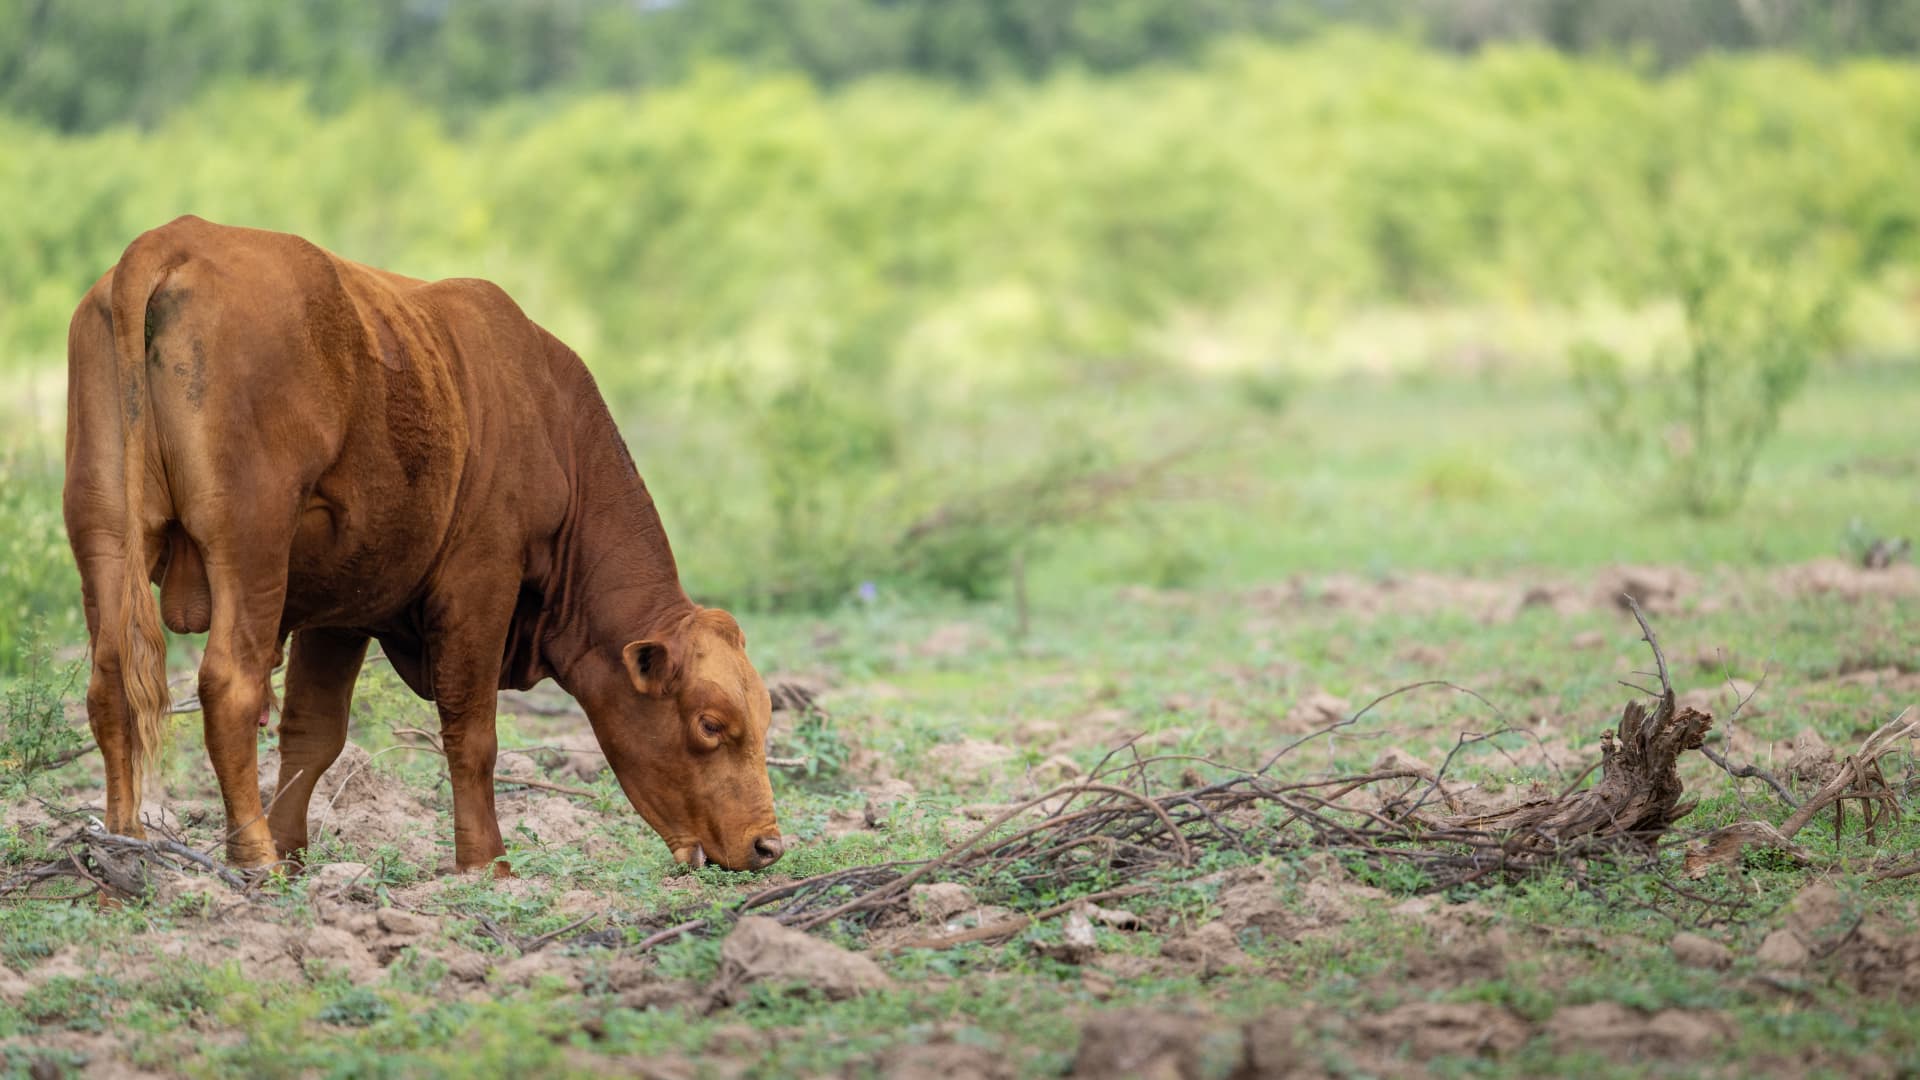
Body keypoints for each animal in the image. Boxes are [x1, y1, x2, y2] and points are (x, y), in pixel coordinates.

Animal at [63, 216, 783, 875]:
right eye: (711, 724)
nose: (768, 845)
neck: (552, 420)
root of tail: (177, 238)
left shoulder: (341, 609)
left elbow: (312, 734)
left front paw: (295, 850)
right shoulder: (480, 584)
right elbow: (472, 733)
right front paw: (486, 864)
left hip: (104, 536)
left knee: (110, 683)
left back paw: (122, 847)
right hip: (250, 546)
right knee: (229, 686)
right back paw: (253, 859)